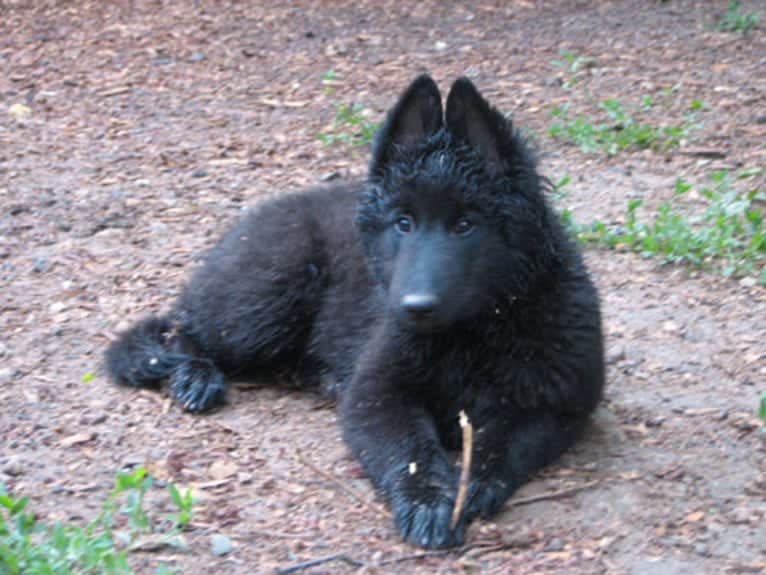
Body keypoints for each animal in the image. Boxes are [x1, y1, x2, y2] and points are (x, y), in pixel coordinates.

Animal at [106, 76, 608, 548]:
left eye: (466, 225)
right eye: (403, 223)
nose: (414, 307)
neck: (473, 334)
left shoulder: (554, 406)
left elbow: (501, 444)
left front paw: (471, 483)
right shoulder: (377, 394)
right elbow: (410, 451)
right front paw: (429, 501)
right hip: (266, 299)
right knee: (182, 329)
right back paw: (194, 377)